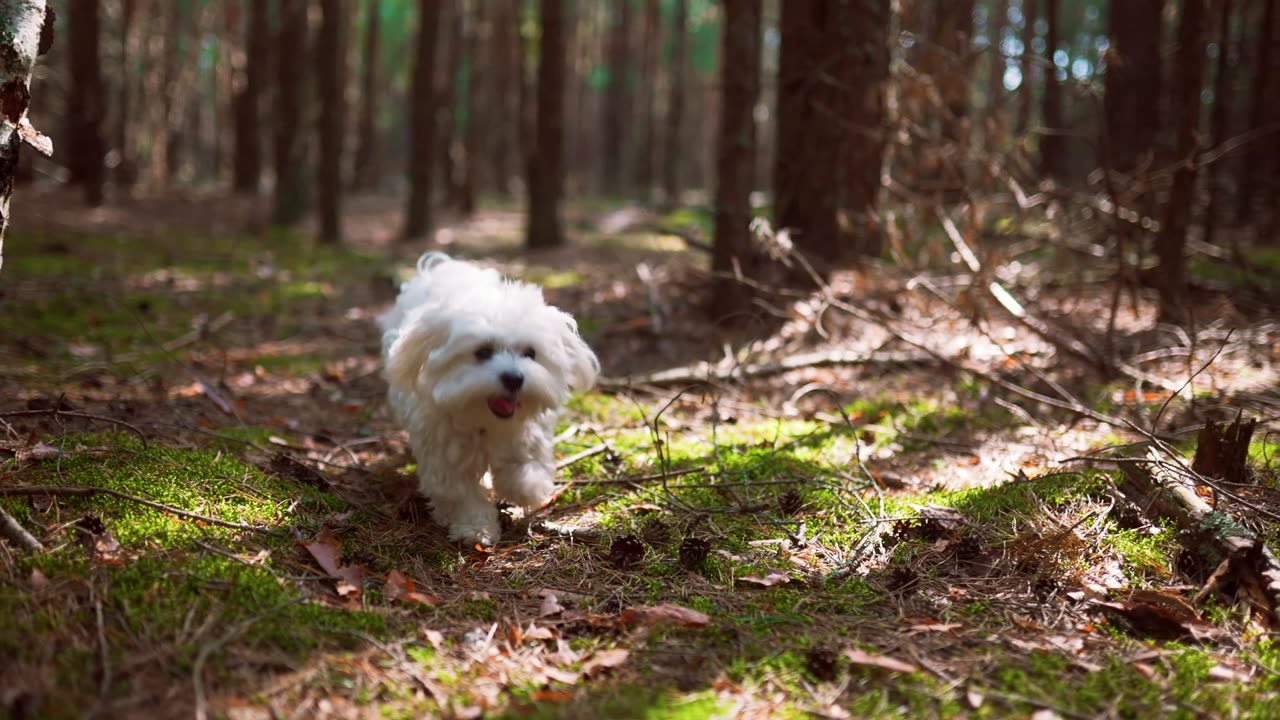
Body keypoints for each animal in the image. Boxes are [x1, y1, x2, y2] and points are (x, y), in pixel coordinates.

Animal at [376, 252, 601, 543]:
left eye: (530, 352)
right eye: (482, 352)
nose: (514, 378)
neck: (484, 420)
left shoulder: (528, 432)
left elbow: (525, 465)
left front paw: (524, 487)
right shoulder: (445, 453)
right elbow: (462, 493)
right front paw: (475, 527)